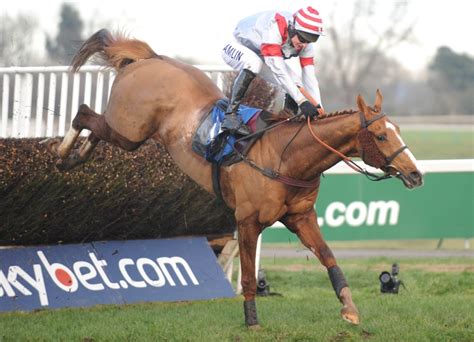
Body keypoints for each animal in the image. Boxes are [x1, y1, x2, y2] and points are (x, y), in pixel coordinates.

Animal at [46, 30, 424, 328]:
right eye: (381, 136)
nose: (416, 174)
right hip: (129, 131)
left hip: (127, 135)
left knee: (94, 127)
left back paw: (76, 156)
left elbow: (329, 257)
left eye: (397, 129)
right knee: (84, 113)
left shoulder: (301, 216)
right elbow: (246, 275)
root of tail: (149, 59)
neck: (286, 157)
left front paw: (349, 308)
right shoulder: (247, 220)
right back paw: (63, 154)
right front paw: (252, 321)